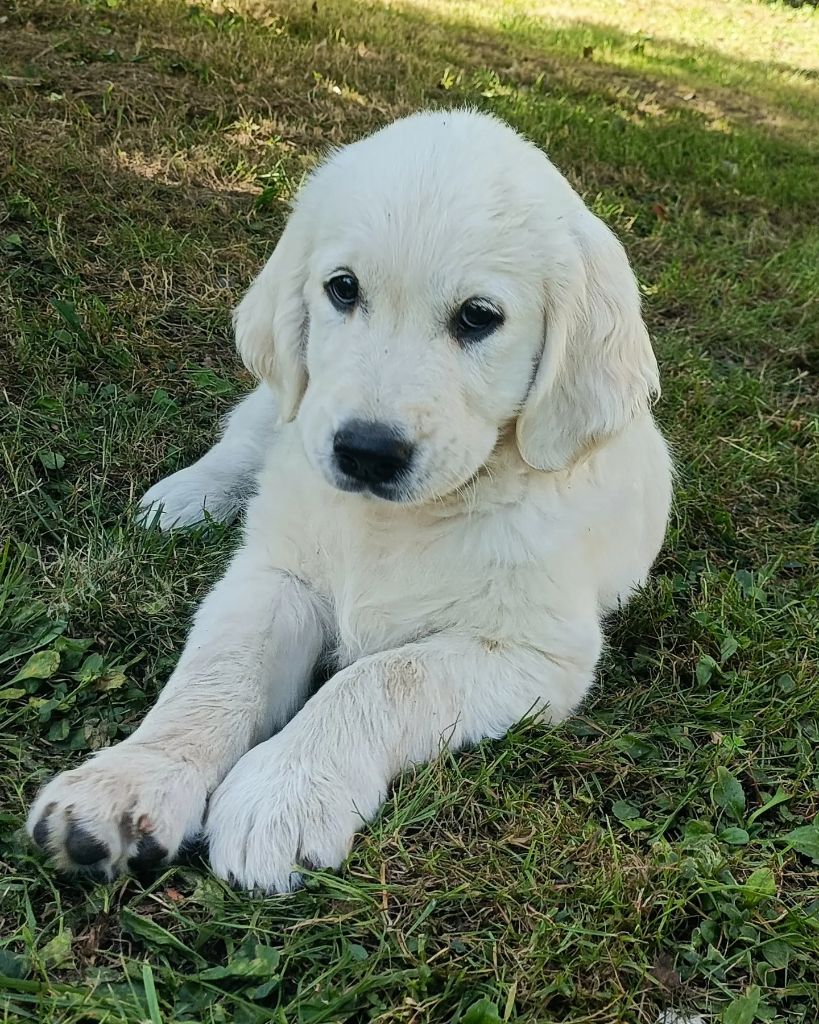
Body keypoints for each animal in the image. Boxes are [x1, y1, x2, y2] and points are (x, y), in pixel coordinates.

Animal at [28, 112, 675, 892]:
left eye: (478, 317)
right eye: (342, 289)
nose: (366, 451)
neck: (396, 519)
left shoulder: (532, 652)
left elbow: (379, 679)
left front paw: (284, 790)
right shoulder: (275, 576)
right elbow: (215, 676)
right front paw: (128, 781)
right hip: (286, 409)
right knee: (247, 434)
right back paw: (184, 498)